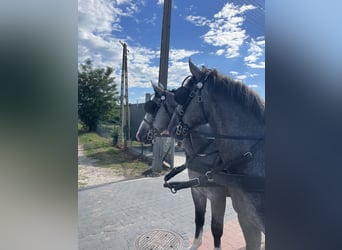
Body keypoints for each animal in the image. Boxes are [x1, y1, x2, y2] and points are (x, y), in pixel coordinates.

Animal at [136, 81, 230, 248]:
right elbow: (199, 219)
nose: (138, 135)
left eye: (153, 107)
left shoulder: (218, 197)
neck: (205, 149)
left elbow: (216, 229)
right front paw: (195, 244)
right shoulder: (197, 191)